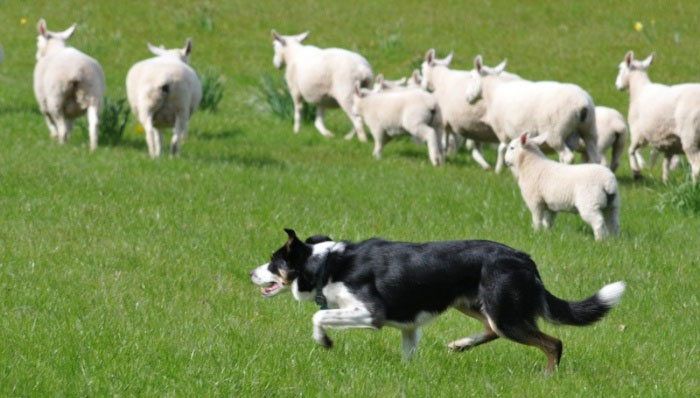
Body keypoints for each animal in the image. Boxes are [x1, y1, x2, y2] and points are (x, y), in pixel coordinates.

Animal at [32, 19, 104, 152]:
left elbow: (49, 119)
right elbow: (70, 125)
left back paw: (61, 146)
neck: (55, 48)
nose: (37, 56)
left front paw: (54, 135)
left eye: (38, 42)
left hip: (56, 98)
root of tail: (77, 71)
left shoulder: (43, 102)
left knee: (62, 128)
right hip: (94, 97)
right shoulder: (72, 110)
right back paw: (93, 148)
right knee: (94, 124)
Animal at [250, 229, 624, 374]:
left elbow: (320, 317)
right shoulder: (408, 327)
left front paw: (324, 341)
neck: (327, 265)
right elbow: (408, 356)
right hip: (474, 304)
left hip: (505, 312)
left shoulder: (370, 313)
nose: (251, 273)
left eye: (272, 262)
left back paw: (547, 377)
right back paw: (461, 344)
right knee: (493, 330)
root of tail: (525, 259)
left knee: (552, 342)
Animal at [468, 55, 600, 173]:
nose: (467, 98)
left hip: (555, 133)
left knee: (567, 157)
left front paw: (498, 170)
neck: (493, 91)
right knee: (595, 157)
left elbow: (502, 149)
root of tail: (582, 103)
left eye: (473, 77)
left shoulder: (503, 132)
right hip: (589, 130)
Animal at [612, 50, 700, 183]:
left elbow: (631, 151)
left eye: (620, 68)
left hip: (690, 136)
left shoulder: (638, 133)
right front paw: (666, 182)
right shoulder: (669, 142)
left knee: (696, 166)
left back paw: (694, 185)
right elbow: (665, 164)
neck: (639, 89)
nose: (617, 85)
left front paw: (636, 171)